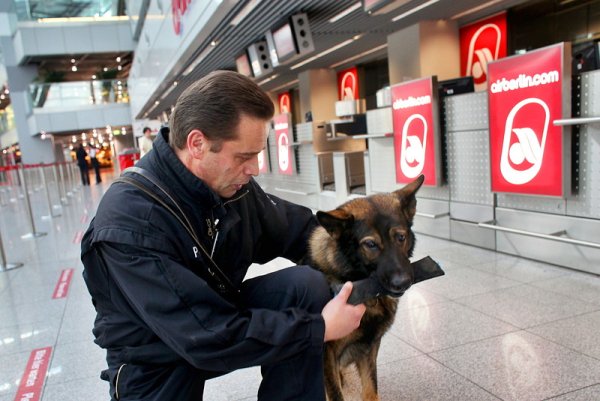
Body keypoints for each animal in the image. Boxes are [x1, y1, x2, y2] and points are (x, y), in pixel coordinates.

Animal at [310, 175, 426, 400]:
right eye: (370, 245)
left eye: (400, 237)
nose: (403, 282)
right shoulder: (326, 354)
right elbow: (335, 394)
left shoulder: (369, 348)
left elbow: (371, 389)